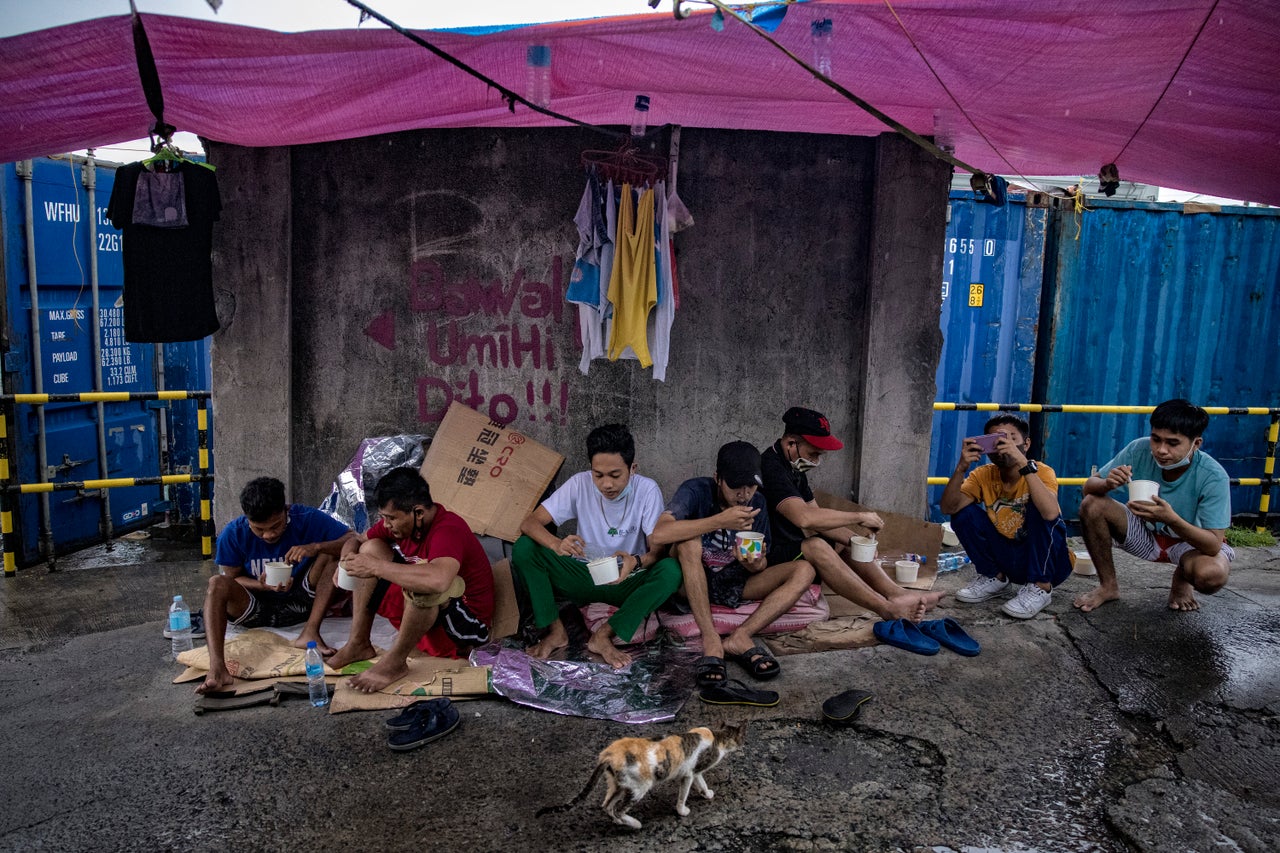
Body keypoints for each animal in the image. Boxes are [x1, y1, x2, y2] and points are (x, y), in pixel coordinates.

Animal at [537, 722, 742, 824]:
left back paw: (619, 822)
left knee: (606, 805)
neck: (716, 736)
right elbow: (684, 794)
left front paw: (706, 794)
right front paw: (682, 810)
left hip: (618, 784)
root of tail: (609, 755)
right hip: (639, 787)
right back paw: (635, 824)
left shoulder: (695, 772)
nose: (743, 746)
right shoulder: (690, 773)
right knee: (618, 809)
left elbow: (702, 783)